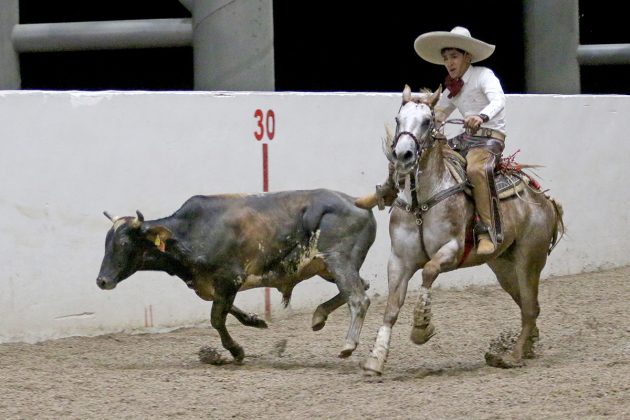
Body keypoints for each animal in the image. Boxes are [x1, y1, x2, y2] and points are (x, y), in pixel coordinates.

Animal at [96, 189, 378, 362]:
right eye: (106, 242)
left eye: (123, 244)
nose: (102, 281)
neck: (192, 231)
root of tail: (356, 201)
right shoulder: (214, 285)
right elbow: (225, 310)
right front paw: (255, 320)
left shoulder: (229, 278)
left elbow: (216, 319)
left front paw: (236, 351)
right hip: (328, 267)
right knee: (361, 286)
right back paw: (318, 316)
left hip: (339, 261)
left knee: (358, 298)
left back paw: (348, 344)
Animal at [362, 84, 564, 374]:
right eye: (399, 119)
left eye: (427, 121)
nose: (402, 155)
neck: (422, 202)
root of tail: (544, 201)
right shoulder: (399, 260)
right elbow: (391, 308)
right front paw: (375, 359)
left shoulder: (452, 250)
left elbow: (429, 271)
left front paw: (421, 328)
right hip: (504, 267)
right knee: (529, 306)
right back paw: (526, 348)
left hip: (529, 260)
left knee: (529, 308)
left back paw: (512, 356)